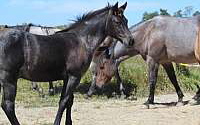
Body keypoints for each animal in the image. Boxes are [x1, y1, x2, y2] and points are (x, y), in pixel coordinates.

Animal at [0, 2, 133, 125]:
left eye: (126, 20)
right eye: (117, 22)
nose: (130, 41)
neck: (81, 40)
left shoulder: (67, 78)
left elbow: (69, 101)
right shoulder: (74, 76)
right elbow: (64, 101)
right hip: (9, 80)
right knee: (8, 106)